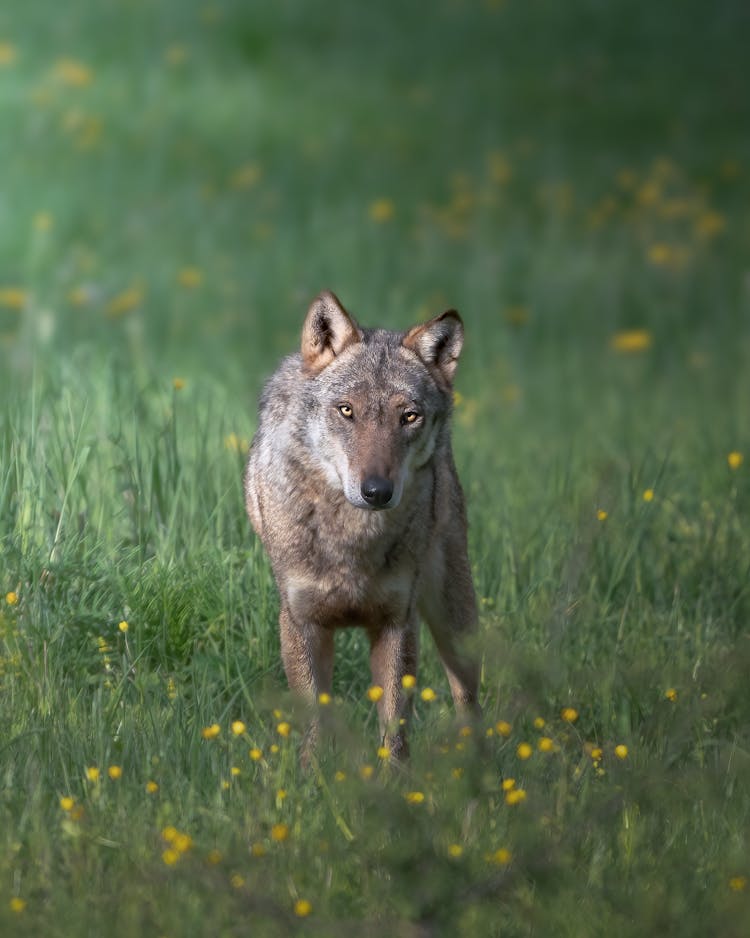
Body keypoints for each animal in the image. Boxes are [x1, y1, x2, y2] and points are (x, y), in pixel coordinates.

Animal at [247, 292, 482, 760]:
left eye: (408, 417)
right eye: (347, 411)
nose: (376, 491)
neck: (352, 543)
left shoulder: (397, 622)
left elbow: (395, 734)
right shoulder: (302, 623)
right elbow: (316, 726)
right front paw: (312, 775)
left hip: (455, 619)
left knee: (469, 700)